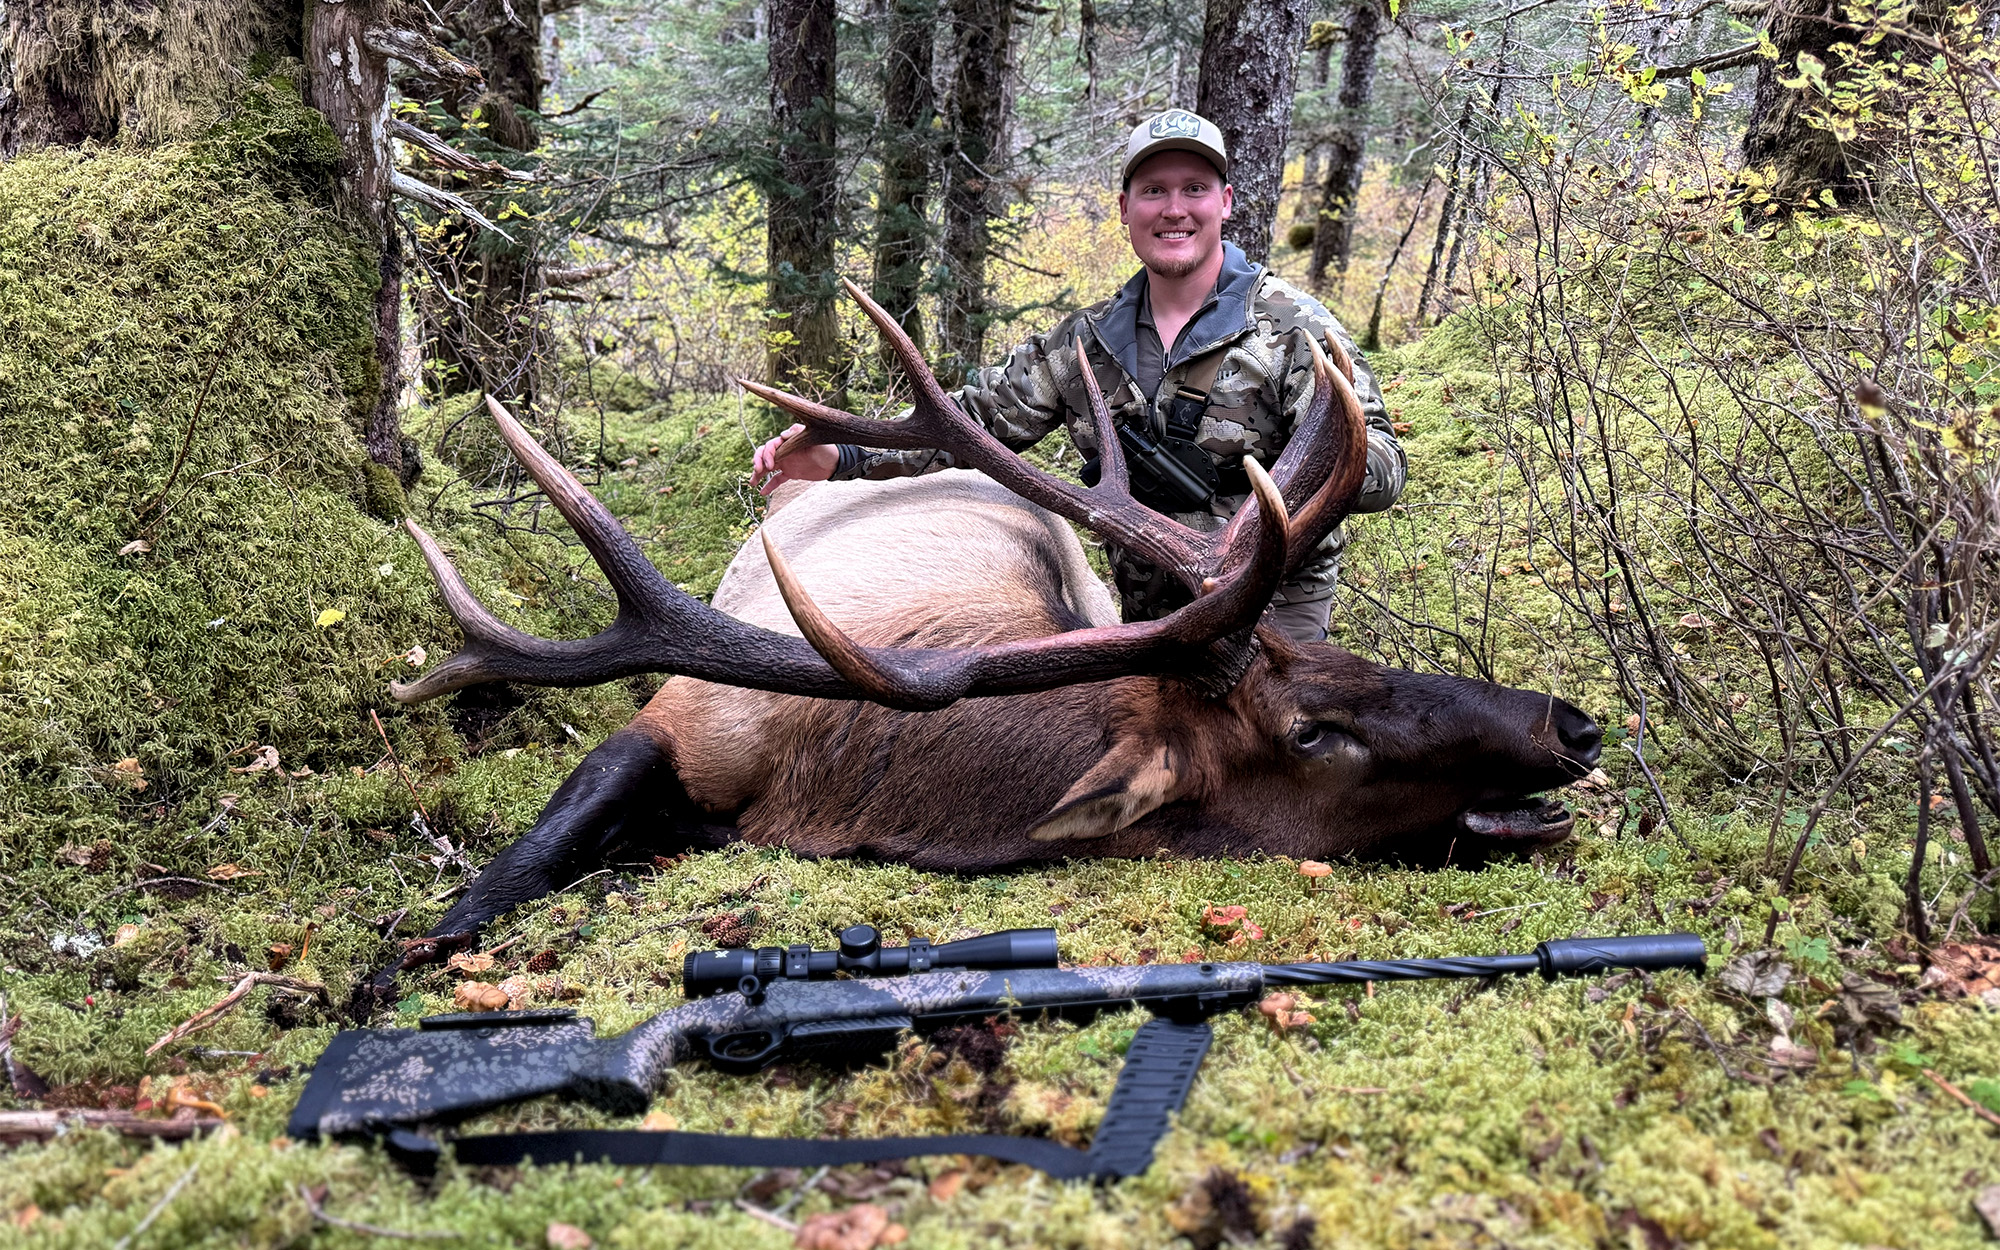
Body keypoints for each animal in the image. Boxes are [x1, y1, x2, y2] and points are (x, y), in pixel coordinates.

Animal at [366, 280, 1601, 994]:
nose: (1570, 723)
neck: (827, 785)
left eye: (1356, 657)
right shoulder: (682, 713)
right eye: (1309, 727)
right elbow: (527, 855)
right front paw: (406, 957)